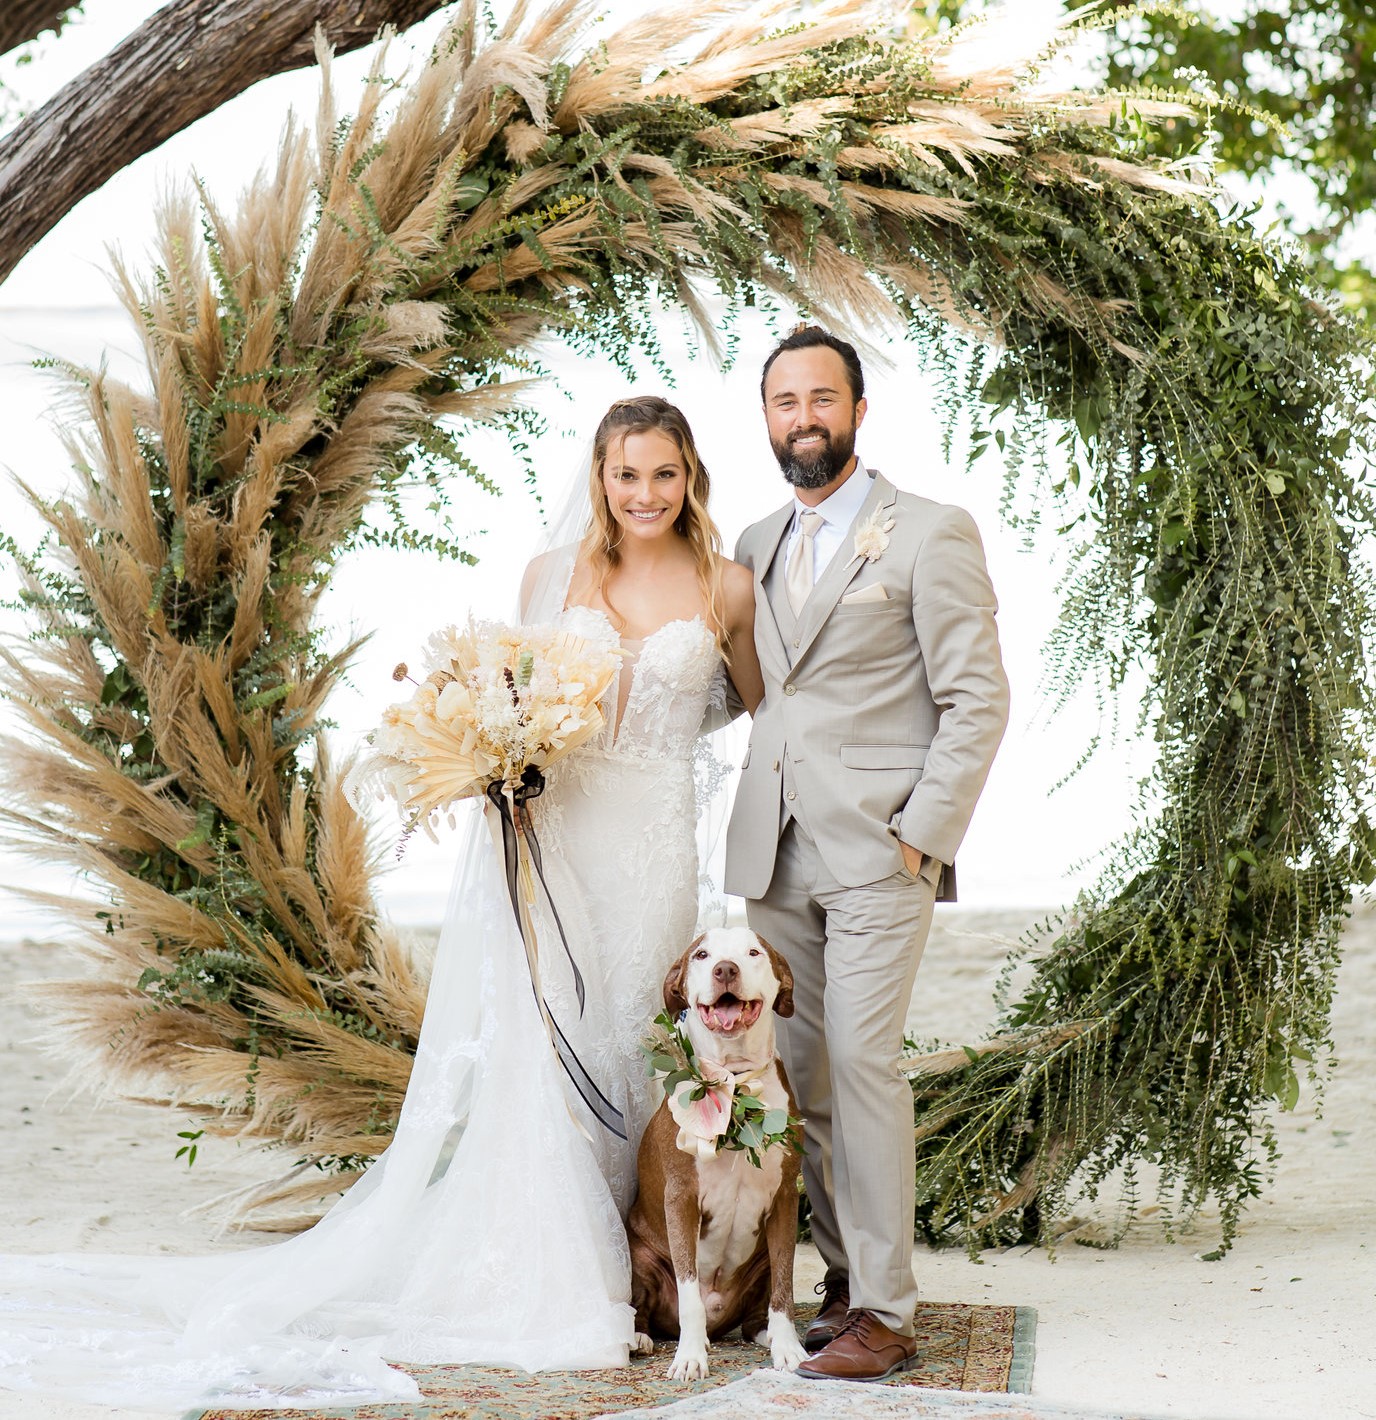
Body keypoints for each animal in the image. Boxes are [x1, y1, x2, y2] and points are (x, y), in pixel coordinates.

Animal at [621, 925, 806, 1380]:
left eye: (754, 952)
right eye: (702, 955)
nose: (725, 969)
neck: (735, 1080)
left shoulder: (785, 1199)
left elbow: (785, 1289)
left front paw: (789, 1348)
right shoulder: (681, 1197)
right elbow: (689, 1291)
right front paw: (689, 1357)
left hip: (759, 1263)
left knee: (757, 1314)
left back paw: (766, 1335)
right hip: (640, 1255)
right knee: (644, 1306)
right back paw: (640, 1337)